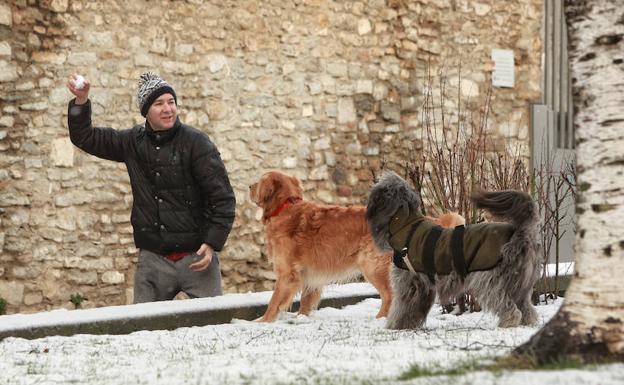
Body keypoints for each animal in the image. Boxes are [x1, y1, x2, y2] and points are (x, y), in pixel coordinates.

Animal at [366, 172, 540, 328]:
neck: (406, 225)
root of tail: (519, 234)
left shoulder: (408, 283)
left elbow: (402, 308)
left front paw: (394, 325)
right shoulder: (422, 287)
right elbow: (414, 310)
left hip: (490, 282)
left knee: (510, 308)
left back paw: (508, 322)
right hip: (520, 285)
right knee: (527, 309)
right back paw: (527, 323)